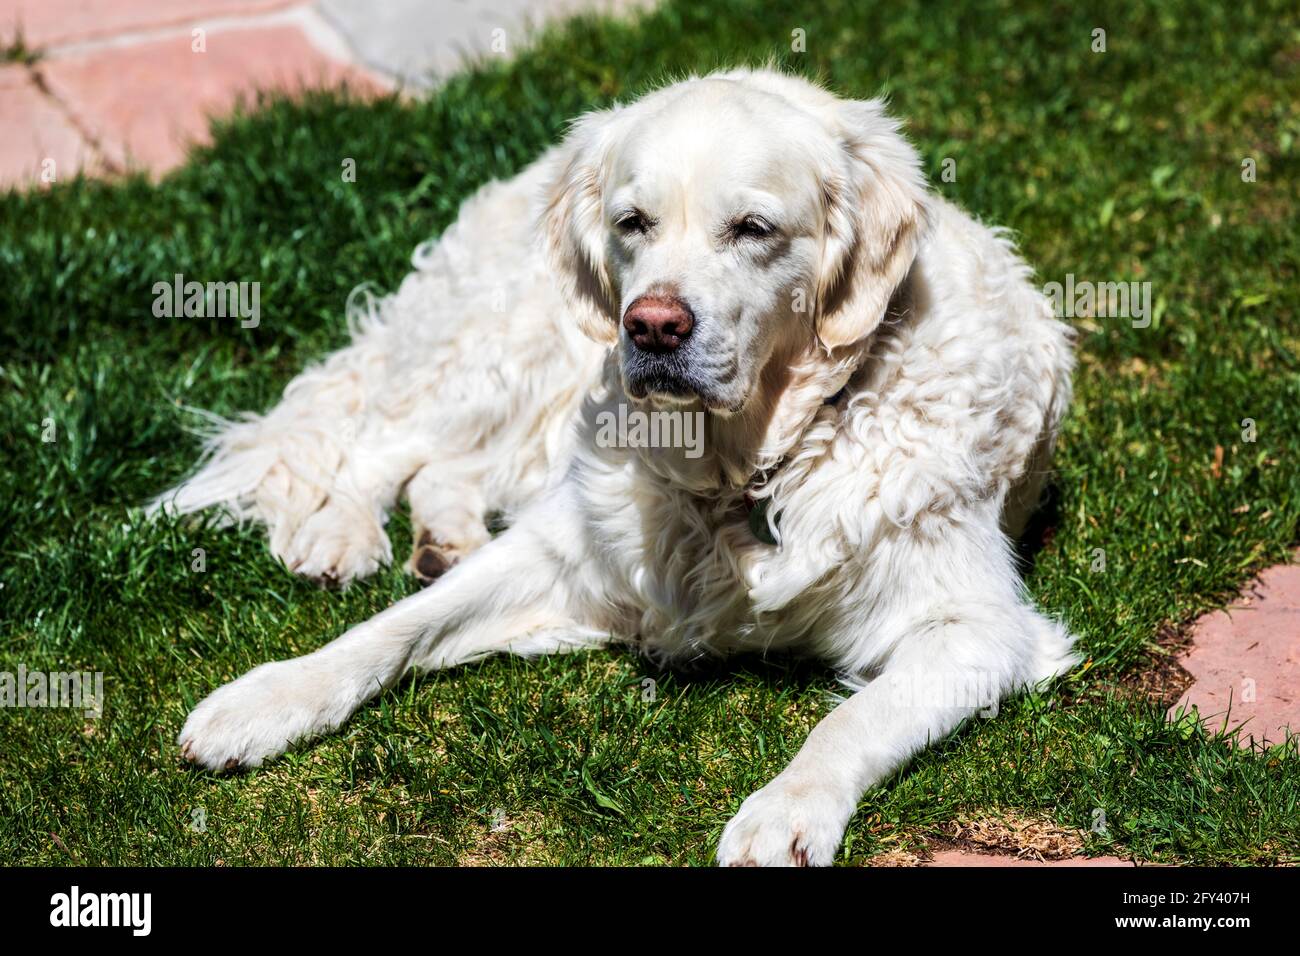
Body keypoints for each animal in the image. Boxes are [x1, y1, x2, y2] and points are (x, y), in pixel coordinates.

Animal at [162, 69, 1076, 868]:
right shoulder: (571, 548)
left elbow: (852, 720)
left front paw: (785, 811)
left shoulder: (976, 626)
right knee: (382, 438)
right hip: (516, 349)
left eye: (753, 228)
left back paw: (440, 538)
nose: (654, 325)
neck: (753, 465)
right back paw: (344, 534)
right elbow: (393, 628)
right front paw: (269, 697)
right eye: (634, 222)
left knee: (442, 465)